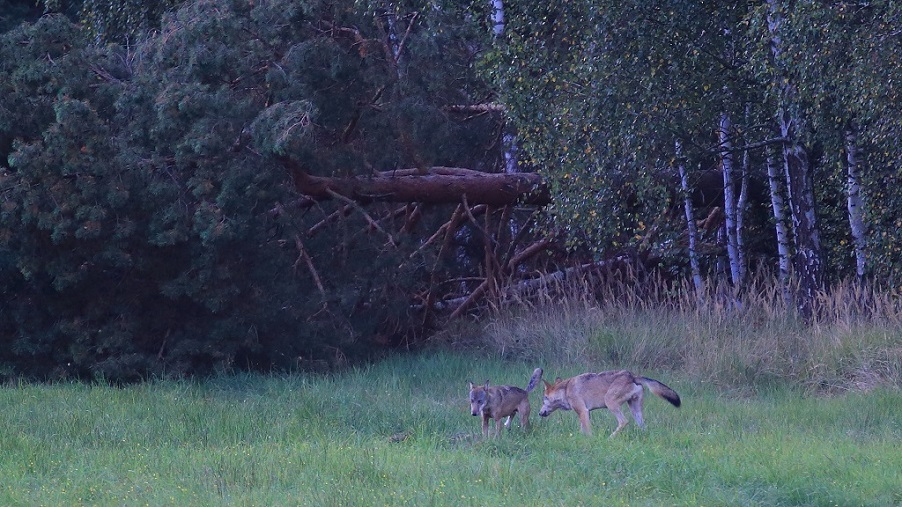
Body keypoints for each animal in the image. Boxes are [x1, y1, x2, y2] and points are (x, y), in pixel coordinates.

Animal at [538, 370, 681, 437]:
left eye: (544, 399)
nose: (540, 413)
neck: (566, 389)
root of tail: (632, 376)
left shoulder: (583, 411)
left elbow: (588, 432)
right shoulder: (586, 413)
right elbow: (582, 430)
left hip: (610, 403)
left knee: (624, 421)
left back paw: (610, 438)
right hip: (635, 410)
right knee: (643, 427)